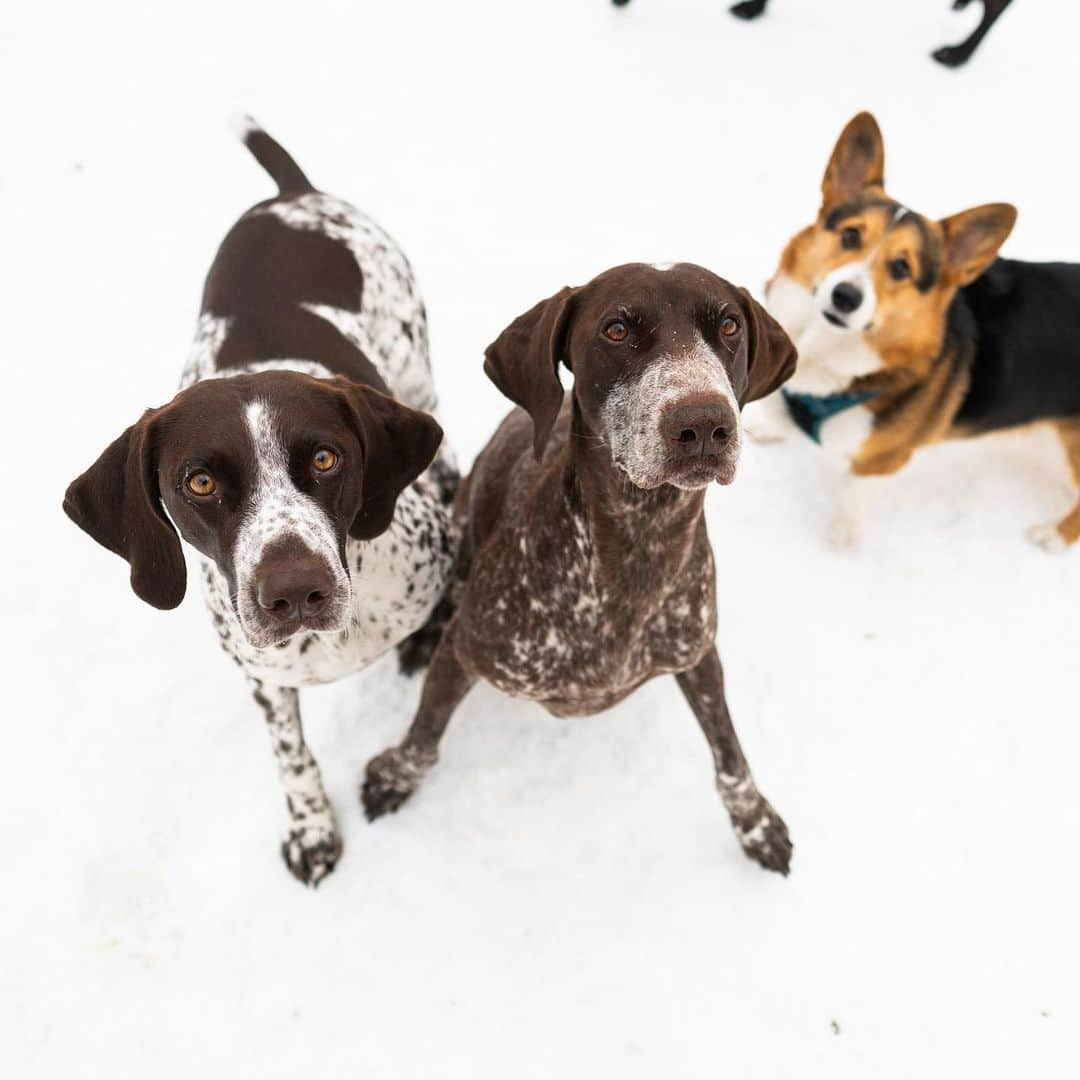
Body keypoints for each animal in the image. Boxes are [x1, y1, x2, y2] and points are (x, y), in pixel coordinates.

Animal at [64, 120, 455, 885]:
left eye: (326, 459)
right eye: (199, 483)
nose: (294, 591)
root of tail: (292, 193)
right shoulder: (264, 677)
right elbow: (291, 753)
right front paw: (311, 828)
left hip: (415, 367)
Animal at [362, 263, 794, 876]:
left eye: (730, 325)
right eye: (616, 329)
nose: (705, 422)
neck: (638, 543)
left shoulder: (698, 657)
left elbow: (729, 752)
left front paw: (754, 823)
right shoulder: (466, 650)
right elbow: (426, 730)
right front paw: (397, 775)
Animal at [756, 113, 1080, 552]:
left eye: (901, 268)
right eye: (851, 235)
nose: (845, 296)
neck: (824, 347)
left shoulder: (882, 461)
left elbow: (853, 494)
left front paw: (841, 538)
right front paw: (765, 429)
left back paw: (1055, 535)